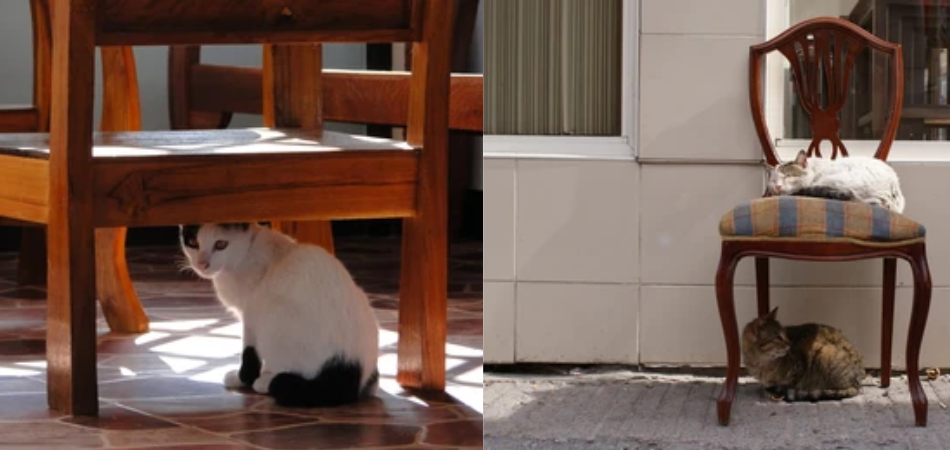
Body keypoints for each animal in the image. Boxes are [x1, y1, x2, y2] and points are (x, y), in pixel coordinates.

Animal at [180, 222, 382, 408]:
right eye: (193, 242)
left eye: (221, 244)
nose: (202, 264)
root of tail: (350, 367)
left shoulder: (251, 313)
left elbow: (249, 352)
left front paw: (242, 378)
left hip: (274, 317)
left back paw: (265, 382)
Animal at [744, 308, 872, 402]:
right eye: (778, 337)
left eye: (785, 334)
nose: (790, 343)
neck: (762, 363)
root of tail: (859, 381)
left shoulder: (799, 366)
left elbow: (790, 383)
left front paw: (777, 392)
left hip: (823, 351)